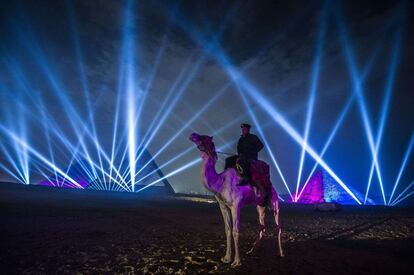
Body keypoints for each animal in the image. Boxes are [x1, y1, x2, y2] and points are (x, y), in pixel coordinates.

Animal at [189, 133, 284, 268]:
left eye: (205, 138)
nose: (193, 135)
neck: (220, 182)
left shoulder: (236, 205)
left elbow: (235, 231)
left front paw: (237, 262)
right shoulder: (223, 205)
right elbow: (227, 230)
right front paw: (226, 258)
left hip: (275, 202)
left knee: (278, 226)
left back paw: (280, 253)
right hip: (260, 206)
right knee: (262, 226)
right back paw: (251, 251)